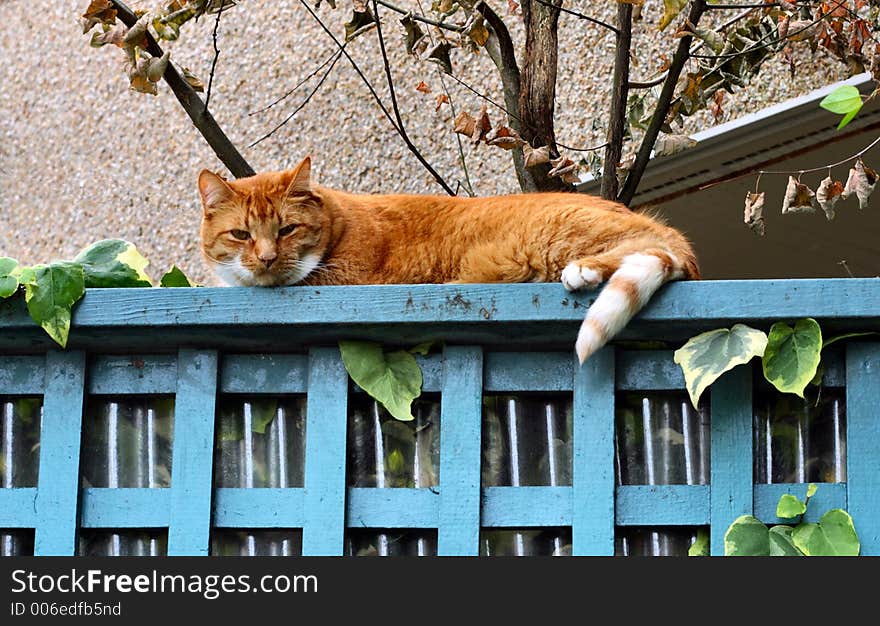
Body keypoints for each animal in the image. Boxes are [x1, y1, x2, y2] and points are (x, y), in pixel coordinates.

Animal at [199, 155, 700, 360]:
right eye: (241, 234)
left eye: (287, 230)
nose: (266, 259)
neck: (340, 222)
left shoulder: (347, 279)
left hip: (558, 235)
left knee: (634, 247)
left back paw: (584, 271)